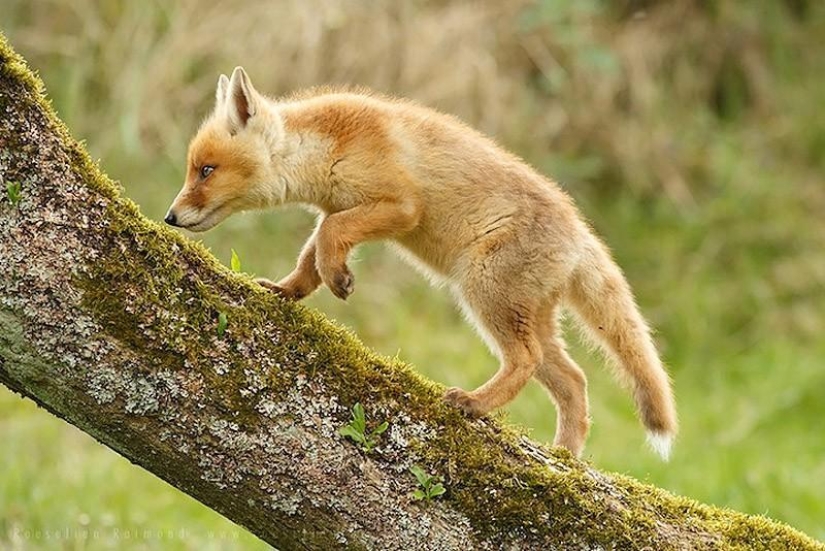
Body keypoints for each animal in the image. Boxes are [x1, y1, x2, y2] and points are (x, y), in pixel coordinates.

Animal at [166, 67, 676, 460]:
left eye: (206, 171)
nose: (170, 216)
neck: (328, 146)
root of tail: (580, 233)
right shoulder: (337, 209)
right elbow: (312, 253)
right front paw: (289, 289)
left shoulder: (399, 206)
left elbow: (330, 240)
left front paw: (339, 280)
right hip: (528, 314)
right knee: (574, 381)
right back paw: (565, 458)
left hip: (485, 295)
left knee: (526, 361)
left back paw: (474, 404)